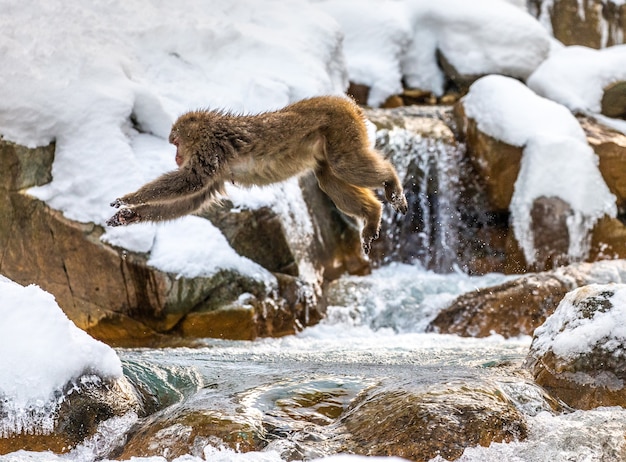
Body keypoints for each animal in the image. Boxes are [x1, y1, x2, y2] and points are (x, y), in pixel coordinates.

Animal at [106, 94, 410, 253]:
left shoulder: (209, 151)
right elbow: (195, 199)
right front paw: (129, 216)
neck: (208, 129)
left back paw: (392, 184)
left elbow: (190, 181)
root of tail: (347, 102)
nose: (176, 157)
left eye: (176, 143)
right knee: (328, 176)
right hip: (334, 139)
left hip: (341, 128)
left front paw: (129, 199)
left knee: (344, 163)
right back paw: (372, 215)